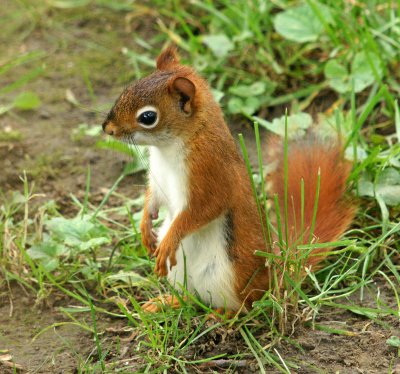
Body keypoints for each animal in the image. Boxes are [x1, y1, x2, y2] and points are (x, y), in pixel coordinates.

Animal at [101, 46, 354, 312]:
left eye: (148, 117)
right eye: (128, 89)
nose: (107, 128)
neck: (169, 147)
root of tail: (273, 281)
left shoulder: (210, 171)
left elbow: (203, 209)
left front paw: (170, 239)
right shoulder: (158, 176)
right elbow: (153, 198)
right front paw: (145, 227)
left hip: (228, 276)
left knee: (244, 306)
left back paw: (222, 315)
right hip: (180, 274)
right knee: (192, 298)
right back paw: (167, 302)